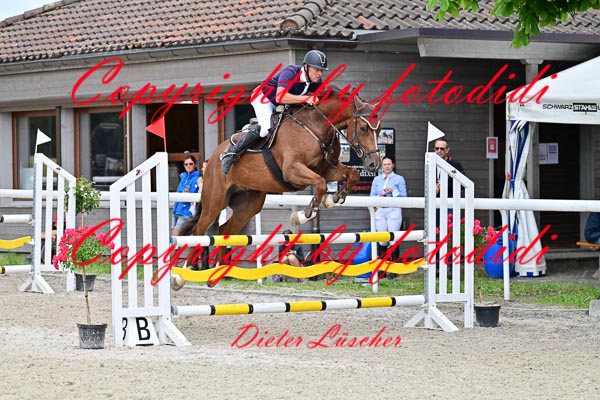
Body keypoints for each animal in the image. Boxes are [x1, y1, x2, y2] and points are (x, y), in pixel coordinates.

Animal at [179, 86, 382, 271]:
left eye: (379, 130)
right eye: (363, 128)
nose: (374, 164)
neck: (315, 127)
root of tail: (212, 158)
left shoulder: (327, 169)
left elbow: (352, 174)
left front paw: (334, 198)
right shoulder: (292, 171)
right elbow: (320, 183)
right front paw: (304, 215)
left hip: (248, 204)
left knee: (224, 231)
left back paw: (219, 271)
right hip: (215, 200)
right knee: (199, 230)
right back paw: (183, 274)